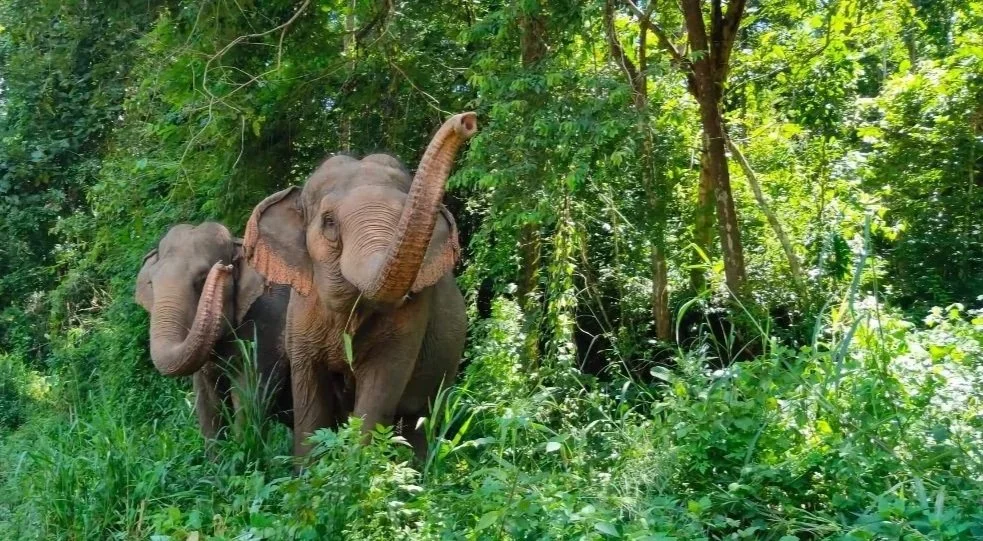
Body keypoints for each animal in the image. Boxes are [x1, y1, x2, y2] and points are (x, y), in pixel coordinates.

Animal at [135, 221, 299, 443]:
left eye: (202, 279)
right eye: (151, 284)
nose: (223, 267)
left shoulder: (270, 327)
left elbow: (249, 396)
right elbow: (206, 403)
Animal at [242, 112, 477, 458]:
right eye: (329, 222)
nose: (467, 120)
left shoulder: (412, 318)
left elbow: (379, 392)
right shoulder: (300, 314)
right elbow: (309, 398)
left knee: (418, 420)